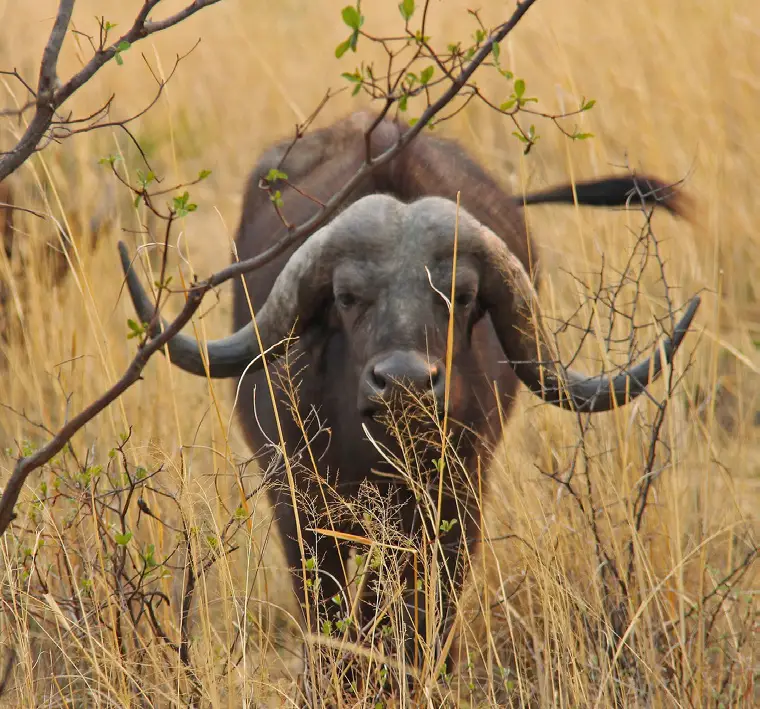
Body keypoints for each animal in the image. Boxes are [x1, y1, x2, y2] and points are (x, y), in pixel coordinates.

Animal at [117, 109, 700, 680]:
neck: (374, 453)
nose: (403, 382)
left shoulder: (456, 508)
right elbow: (330, 609)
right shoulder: (297, 505)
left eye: (461, 295)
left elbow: (411, 608)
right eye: (347, 296)